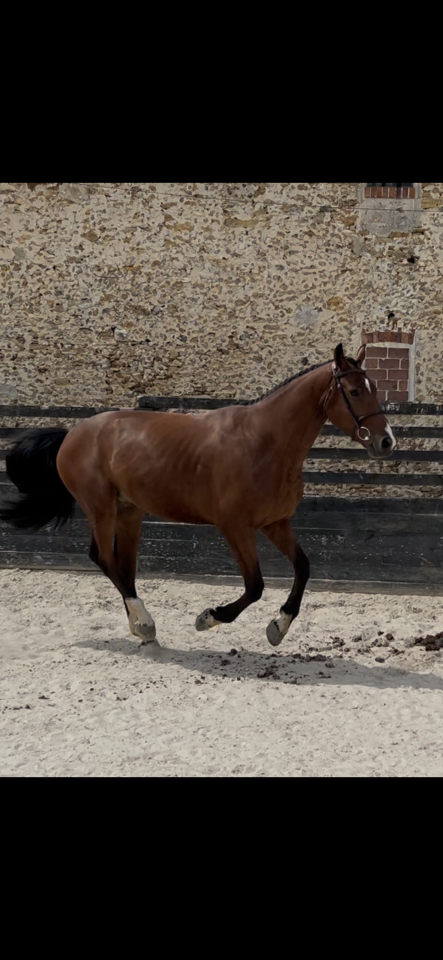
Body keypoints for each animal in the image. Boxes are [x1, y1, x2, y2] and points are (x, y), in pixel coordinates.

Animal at [0, 343, 396, 648]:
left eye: (375, 387)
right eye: (356, 391)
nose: (386, 441)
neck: (265, 443)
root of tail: (72, 433)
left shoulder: (275, 523)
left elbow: (303, 567)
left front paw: (278, 627)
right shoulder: (236, 527)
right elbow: (255, 586)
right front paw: (210, 617)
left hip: (130, 511)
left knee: (124, 567)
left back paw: (143, 629)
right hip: (100, 508)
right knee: (104, 559)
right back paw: (144, 623)